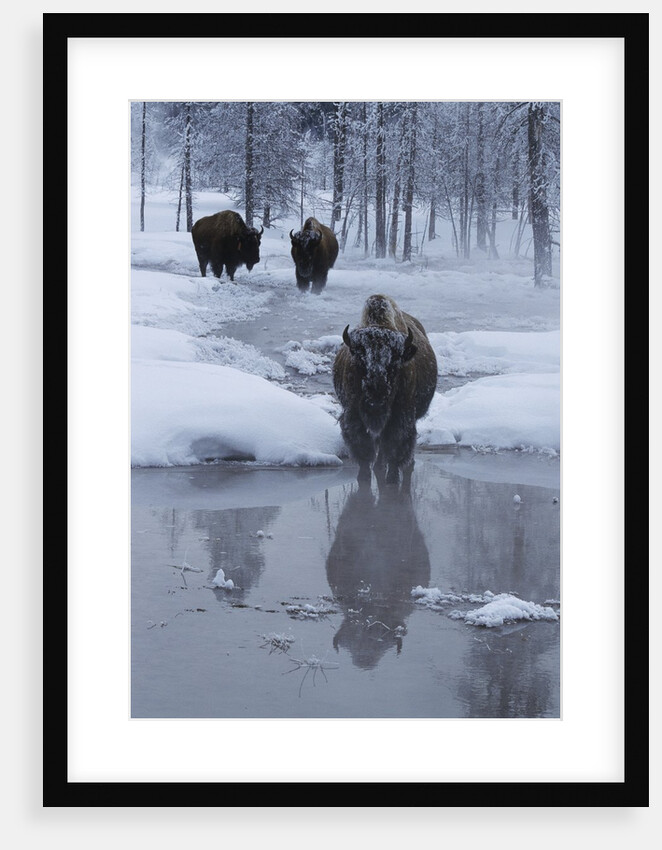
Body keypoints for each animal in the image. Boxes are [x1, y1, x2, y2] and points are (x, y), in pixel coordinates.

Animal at [332, 294, 438, 485]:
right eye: (360, 359)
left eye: (394, 362)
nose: (376, 398)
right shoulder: (354, 415)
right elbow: (364, 448)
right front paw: (364, 476)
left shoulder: (401, 416)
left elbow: (395, 447)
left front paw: (392, 479)